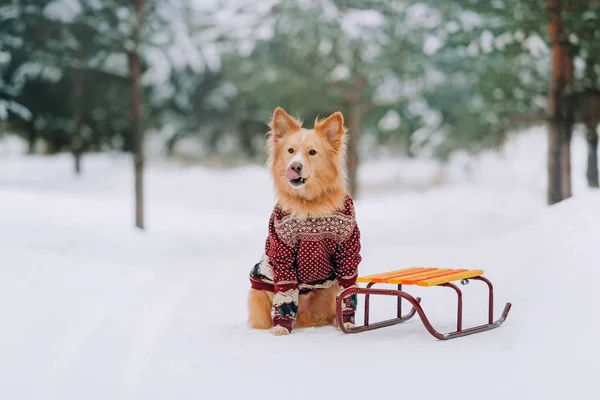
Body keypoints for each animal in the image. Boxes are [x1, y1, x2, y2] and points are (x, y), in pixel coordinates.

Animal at [247, 106, 360, 334]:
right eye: (290, 151)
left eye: (312, 152)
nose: (295, 166)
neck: (310, 204)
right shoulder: (283, 253)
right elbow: (285, 294)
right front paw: (281, 327)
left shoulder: (348, 251)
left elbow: (348, 291)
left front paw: (347, 322)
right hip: (260, 285)